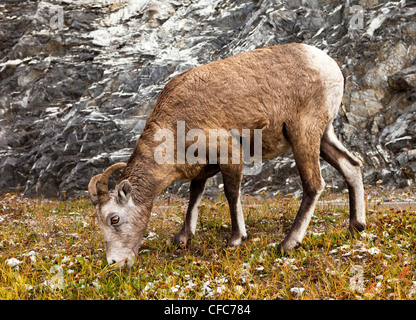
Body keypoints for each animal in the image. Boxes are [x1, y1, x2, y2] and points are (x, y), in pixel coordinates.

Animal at [87, 42, 364, 268]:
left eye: (114, 219)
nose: (115, 262)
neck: (175, 126)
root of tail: (331, 66)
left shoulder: (230, 154)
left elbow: (231, 194)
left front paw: (236, 239)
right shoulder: (201, 170)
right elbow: (194, 196)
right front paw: (183, 237)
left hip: (302, 135)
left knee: (314, 185)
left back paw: (288, 244)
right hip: (324, 136)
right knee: (352, 165)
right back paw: (356, 226)